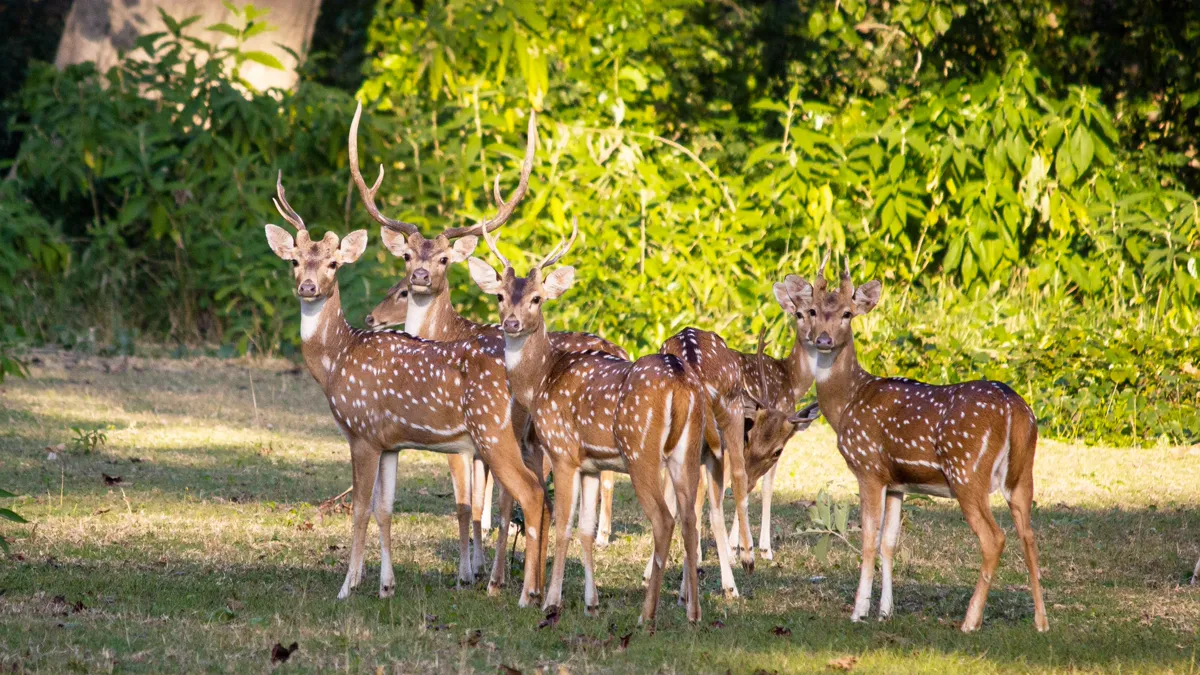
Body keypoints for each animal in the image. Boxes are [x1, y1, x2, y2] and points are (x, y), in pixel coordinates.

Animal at [262, 173, 548, 606]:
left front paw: (347, 586)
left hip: (493, 432)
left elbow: (360, 509)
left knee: (529, 494)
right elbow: (385, 509)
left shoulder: (362, 432)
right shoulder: (390, 443)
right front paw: (386, 585)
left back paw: (523, 593)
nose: (308, 286)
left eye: (333, 263)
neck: (337, 360)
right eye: (294, 261)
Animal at [349, 102, 623, 557]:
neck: (449, 332)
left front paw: (474, 560)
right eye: (406, 257)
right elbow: (482, 495)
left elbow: (472, 500)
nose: (420, 275)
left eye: (444, 259)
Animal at [468, 219, 711, 627]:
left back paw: (647, 615)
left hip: (640, 451)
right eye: (501, 295)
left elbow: (563, 524)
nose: (511, 323)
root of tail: (679, 379)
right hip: (687, 450)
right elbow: (584, 529)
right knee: (691, 518)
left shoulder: (563, 451)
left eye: (537, 298)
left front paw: (549, 602)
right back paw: (692, 613)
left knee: (664, 520)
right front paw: (590, 603)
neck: (540, 382)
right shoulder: (593, 465)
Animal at [776, 254, 1049, 633]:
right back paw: (1041, 622)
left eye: (847, 313)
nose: (824, 339)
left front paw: (859, 611)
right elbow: (889, 542)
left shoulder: (868, 468)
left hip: (967, 472)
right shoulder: (897, 482)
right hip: (1023, 476)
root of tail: (1014, 410)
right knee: (1030, 536)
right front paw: (885, 611)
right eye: (812, 311)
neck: (846, 404)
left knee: (994, 538)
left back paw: (970, 621)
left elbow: (868, 539)